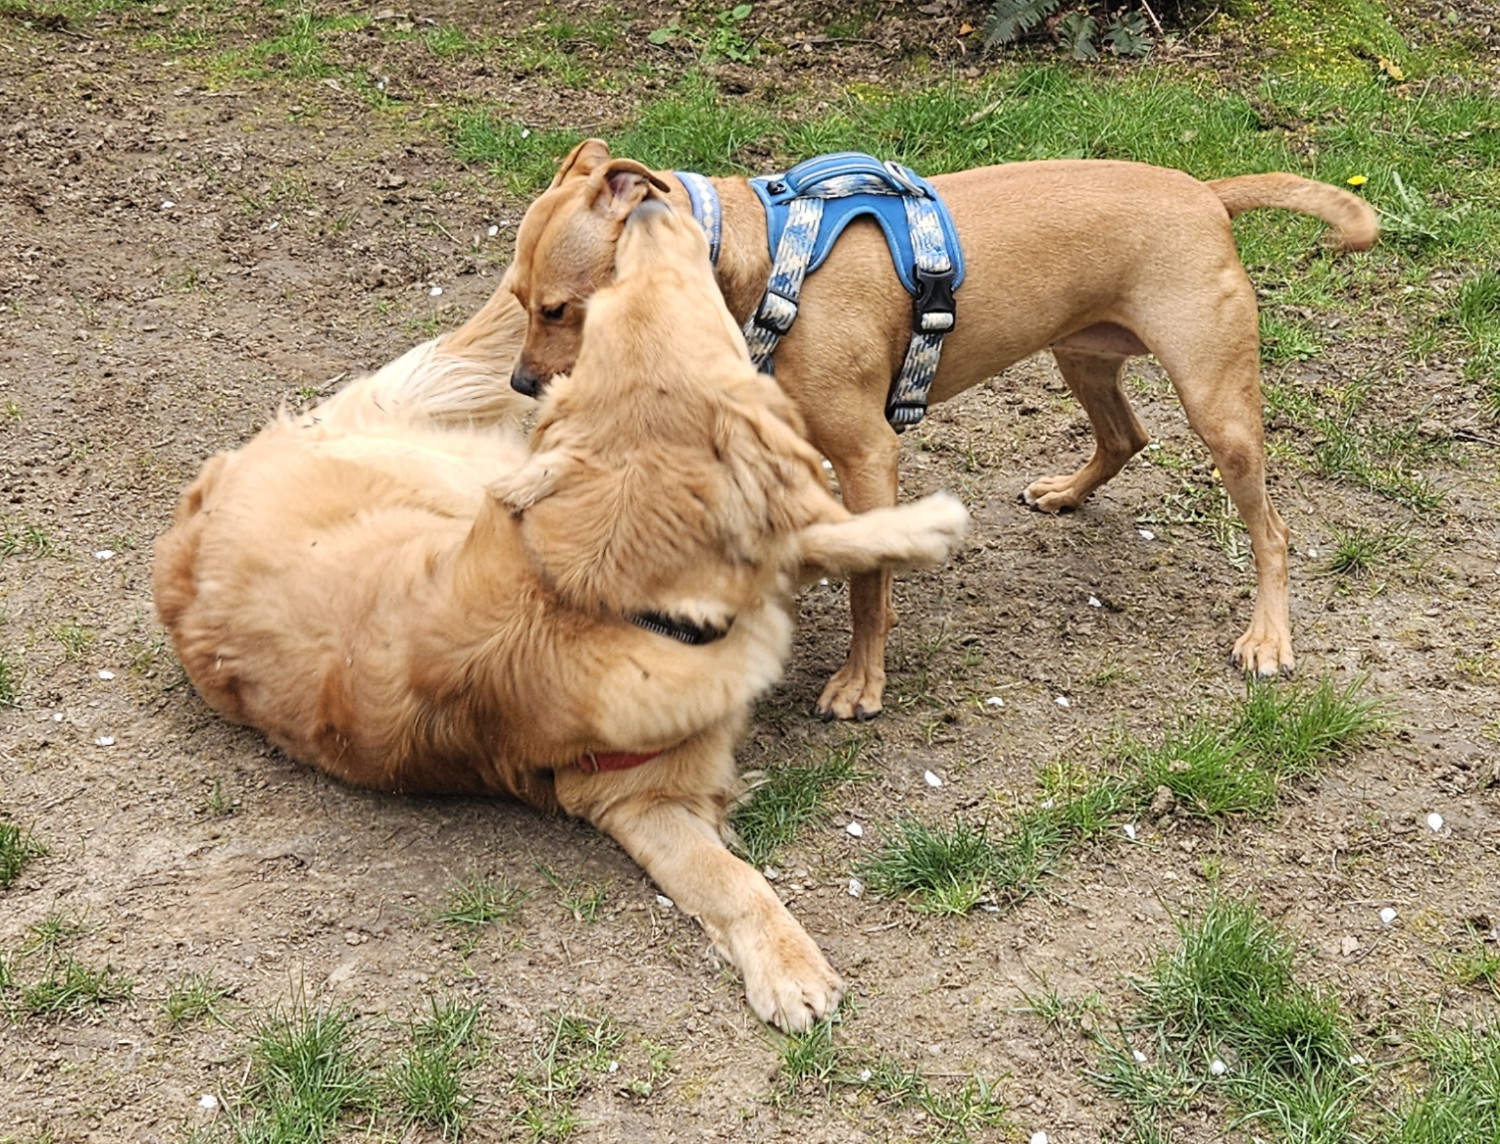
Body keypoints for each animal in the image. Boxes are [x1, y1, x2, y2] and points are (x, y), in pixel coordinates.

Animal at [152, 200, 966, 1031]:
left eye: (613, 311)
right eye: (650, 297)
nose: (647, 207)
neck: (611, 601)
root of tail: (193, 508)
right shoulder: (632, 801)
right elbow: (734, 881)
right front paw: (789, 967)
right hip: (462, 477)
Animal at [507, 140, 1380, 716]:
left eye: (559, 309)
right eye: (515, 299)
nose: (521, 384)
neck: (760, 264)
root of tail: (1207, 192)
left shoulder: (868, 457)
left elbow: (869, 585)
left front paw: (860, 683)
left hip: (1217, 406)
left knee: (1272, 530)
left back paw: (1267, 638)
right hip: (1082, 356)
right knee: (1125, 437)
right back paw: (1067, 492)